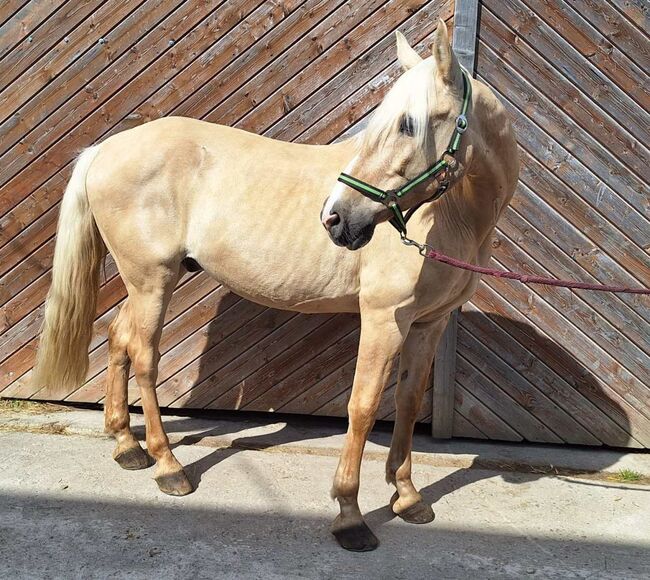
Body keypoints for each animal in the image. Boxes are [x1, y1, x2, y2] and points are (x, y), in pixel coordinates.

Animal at [33, 20, 516, 552]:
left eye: (409, 124)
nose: (335, 217)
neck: (451, 216)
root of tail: (106, 147)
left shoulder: (429, 323)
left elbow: (408, 404)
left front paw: (407, 497)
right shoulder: (384, 319)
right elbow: (364, 406)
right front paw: (350, 514)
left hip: (143, 283)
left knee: (119, 340)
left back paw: (126, 446)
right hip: (152, 281)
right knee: (144, 356)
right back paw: (168, 466)